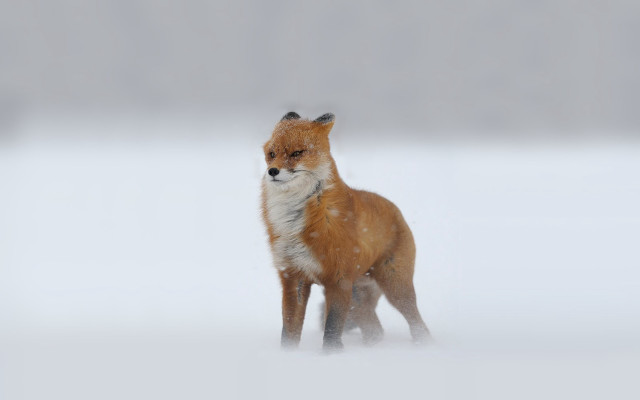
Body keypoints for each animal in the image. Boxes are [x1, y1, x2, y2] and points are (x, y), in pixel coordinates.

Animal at [261, 111, 430, 351]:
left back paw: (424, 346)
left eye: (296, 153)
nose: (272, 171)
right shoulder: (293, 276)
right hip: (357, 297)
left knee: (418, 324)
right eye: (272, 154)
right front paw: (288, 355)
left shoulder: (338, 279)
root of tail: (396, 210)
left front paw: (331, 356)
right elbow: (289, 329)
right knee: (375, 330)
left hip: (395, 287)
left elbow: (332, 328)